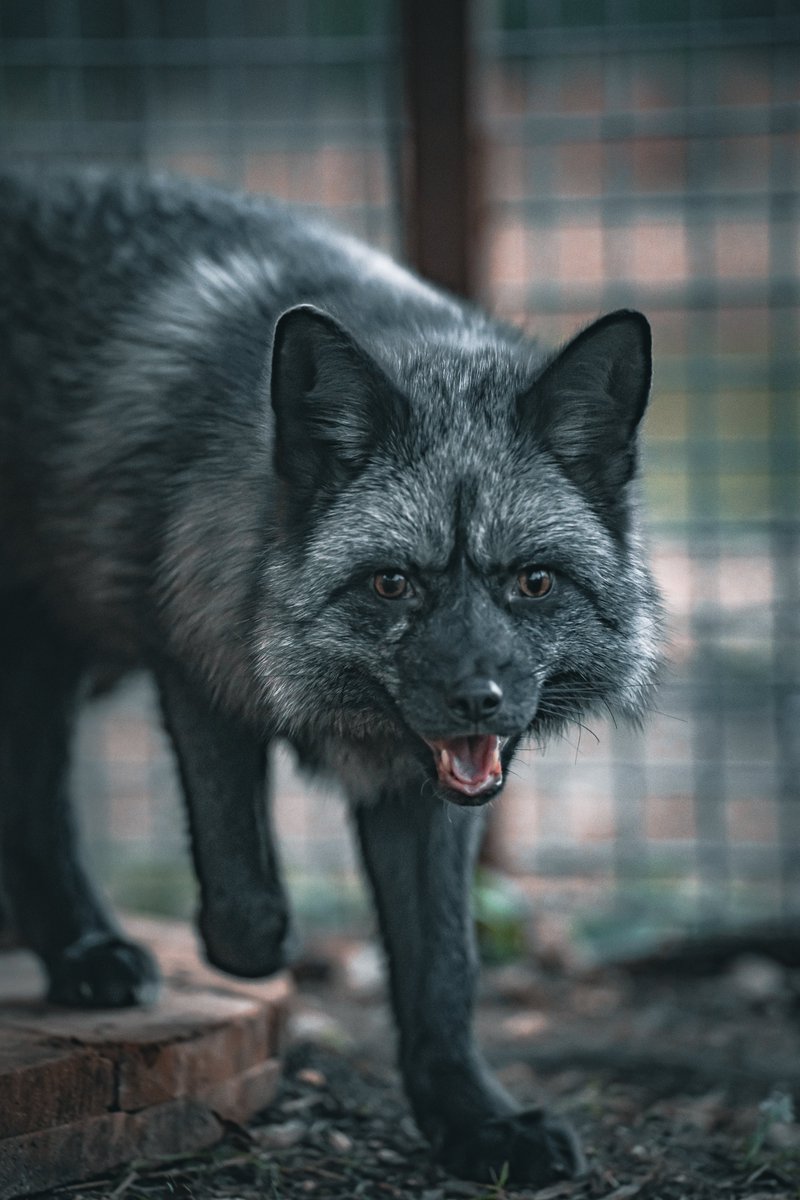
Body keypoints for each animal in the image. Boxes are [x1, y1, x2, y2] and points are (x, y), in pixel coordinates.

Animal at [0, 167, 661, 1184]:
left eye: (534, 582)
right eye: (393, 583)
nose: (480, 700)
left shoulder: (429, 792)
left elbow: (444, 972)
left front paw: (473, 1122)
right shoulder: (193, 657)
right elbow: (247, 904)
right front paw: (257, 948)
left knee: (28, 806)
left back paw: (76, 951)